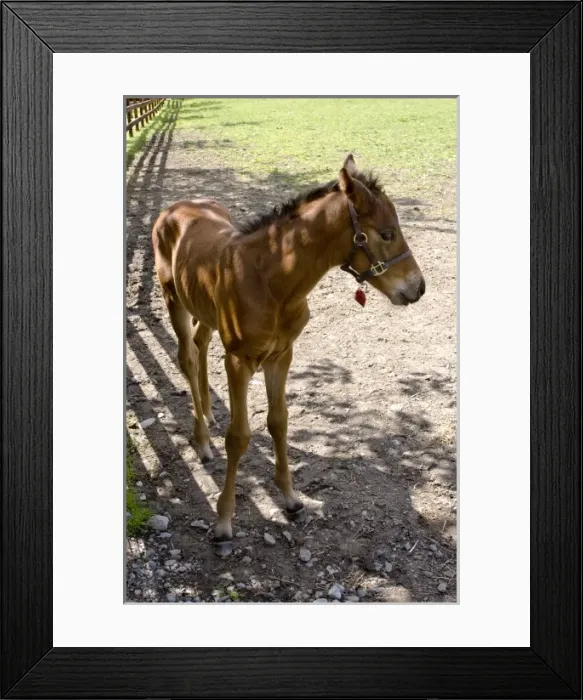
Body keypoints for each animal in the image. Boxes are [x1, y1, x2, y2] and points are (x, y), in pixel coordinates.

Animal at [152, 154, 426, 556]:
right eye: (387, 233)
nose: (418, 288)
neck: (272, 282)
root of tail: (174, 207)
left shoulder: (282, 355)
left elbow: (278, 421)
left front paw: (292, 499)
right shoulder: (238, 361)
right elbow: (239, 437)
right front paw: (224, 521)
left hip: (204, 309)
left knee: (201, 345)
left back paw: (209, 417)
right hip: (174, 301)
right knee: (186, 357)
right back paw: (201, 441)